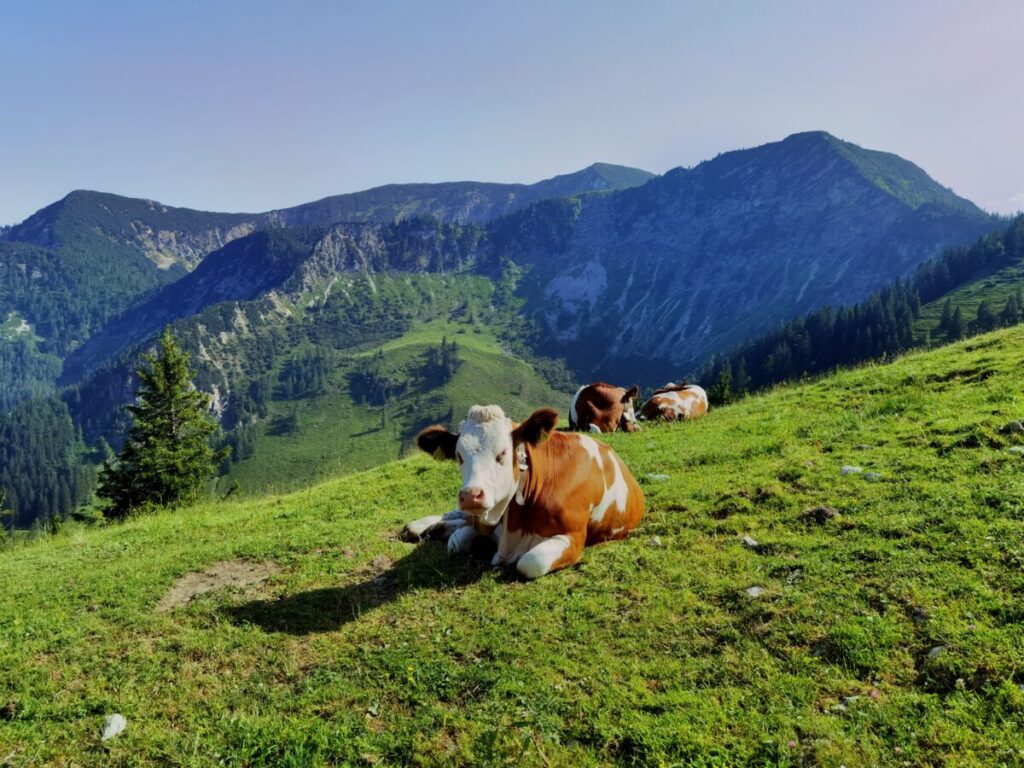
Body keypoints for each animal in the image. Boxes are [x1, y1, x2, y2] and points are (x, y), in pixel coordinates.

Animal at [403, 405, 643, 581]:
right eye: (459, 456)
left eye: (502, 453)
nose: (471, 495)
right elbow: (457, 540)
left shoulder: (573, 536)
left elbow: (530, 562)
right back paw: (420, 526)